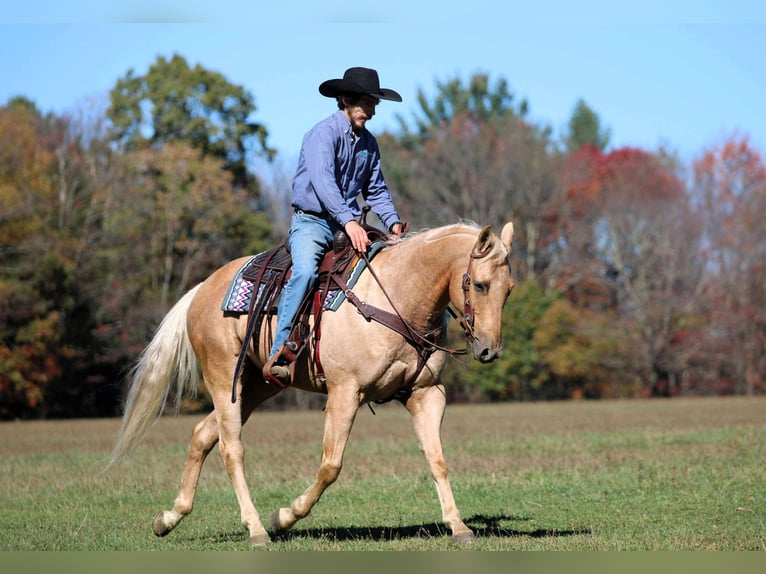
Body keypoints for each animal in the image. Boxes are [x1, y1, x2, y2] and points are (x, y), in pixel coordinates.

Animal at [109, 221, 515, 546]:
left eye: (508, 289)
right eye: (480, 285)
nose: (489, 350)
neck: (397, 296)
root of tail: (203, 289)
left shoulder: (427, 394)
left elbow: (437, 459)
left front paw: (458, 526)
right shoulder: (344, 393)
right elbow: (330, 466)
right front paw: (283, 517)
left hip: (258, 385)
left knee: (202, 435)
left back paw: (168, 518)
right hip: (225, 378)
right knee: (231, 449)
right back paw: (257, 529)